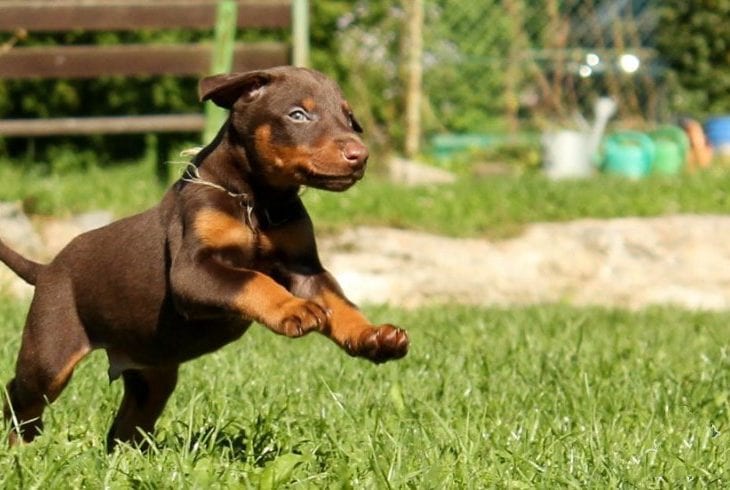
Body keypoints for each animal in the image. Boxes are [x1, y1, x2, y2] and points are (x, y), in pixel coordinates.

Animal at [0, 67, 410, 450]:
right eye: (298, 115)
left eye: (349, 118)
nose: (360, 155)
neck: (256, 200)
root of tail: (46, 268)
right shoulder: (192, 271)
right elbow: (254, 278)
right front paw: (293, 309)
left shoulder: (303, 267)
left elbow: (338, 303)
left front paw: (372, 336)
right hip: (51, 352)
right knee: (19, 395)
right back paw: (21, 445)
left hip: (153, 372)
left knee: (126, 424)